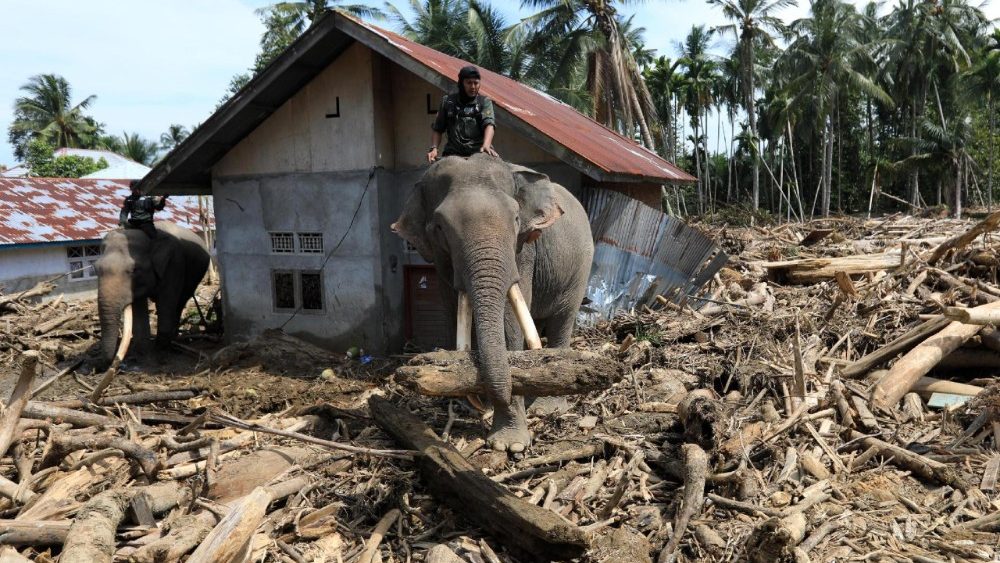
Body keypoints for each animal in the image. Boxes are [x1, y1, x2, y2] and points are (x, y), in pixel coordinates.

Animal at [95, 221, 210, 367]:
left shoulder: (174, 264)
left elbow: (166, 304)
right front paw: (142, 354)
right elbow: (139, 308)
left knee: (179, 303)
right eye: (95, 268)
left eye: (134, 269)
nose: (101, 366)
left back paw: (173, 339)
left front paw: (160, 354)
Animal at [392, 153, 594, 452]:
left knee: (562, 320)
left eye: (516, 218)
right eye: (439, 227)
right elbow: (453, 313)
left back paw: (547, 406)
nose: (477, 401)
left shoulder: (523, 250)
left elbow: (510, 323)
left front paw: (509, 445)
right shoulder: (442, 262)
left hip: (579, 269)